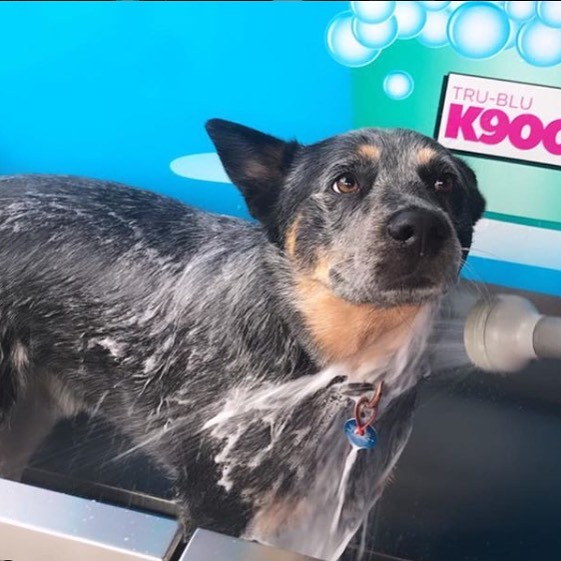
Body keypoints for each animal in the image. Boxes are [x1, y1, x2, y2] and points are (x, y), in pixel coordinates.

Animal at [0, 120, 484, 556]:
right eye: (345, 182)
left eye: (444, 182)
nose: (422, 227)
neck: (332, 366)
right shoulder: (218, 505)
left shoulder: (330, 513)